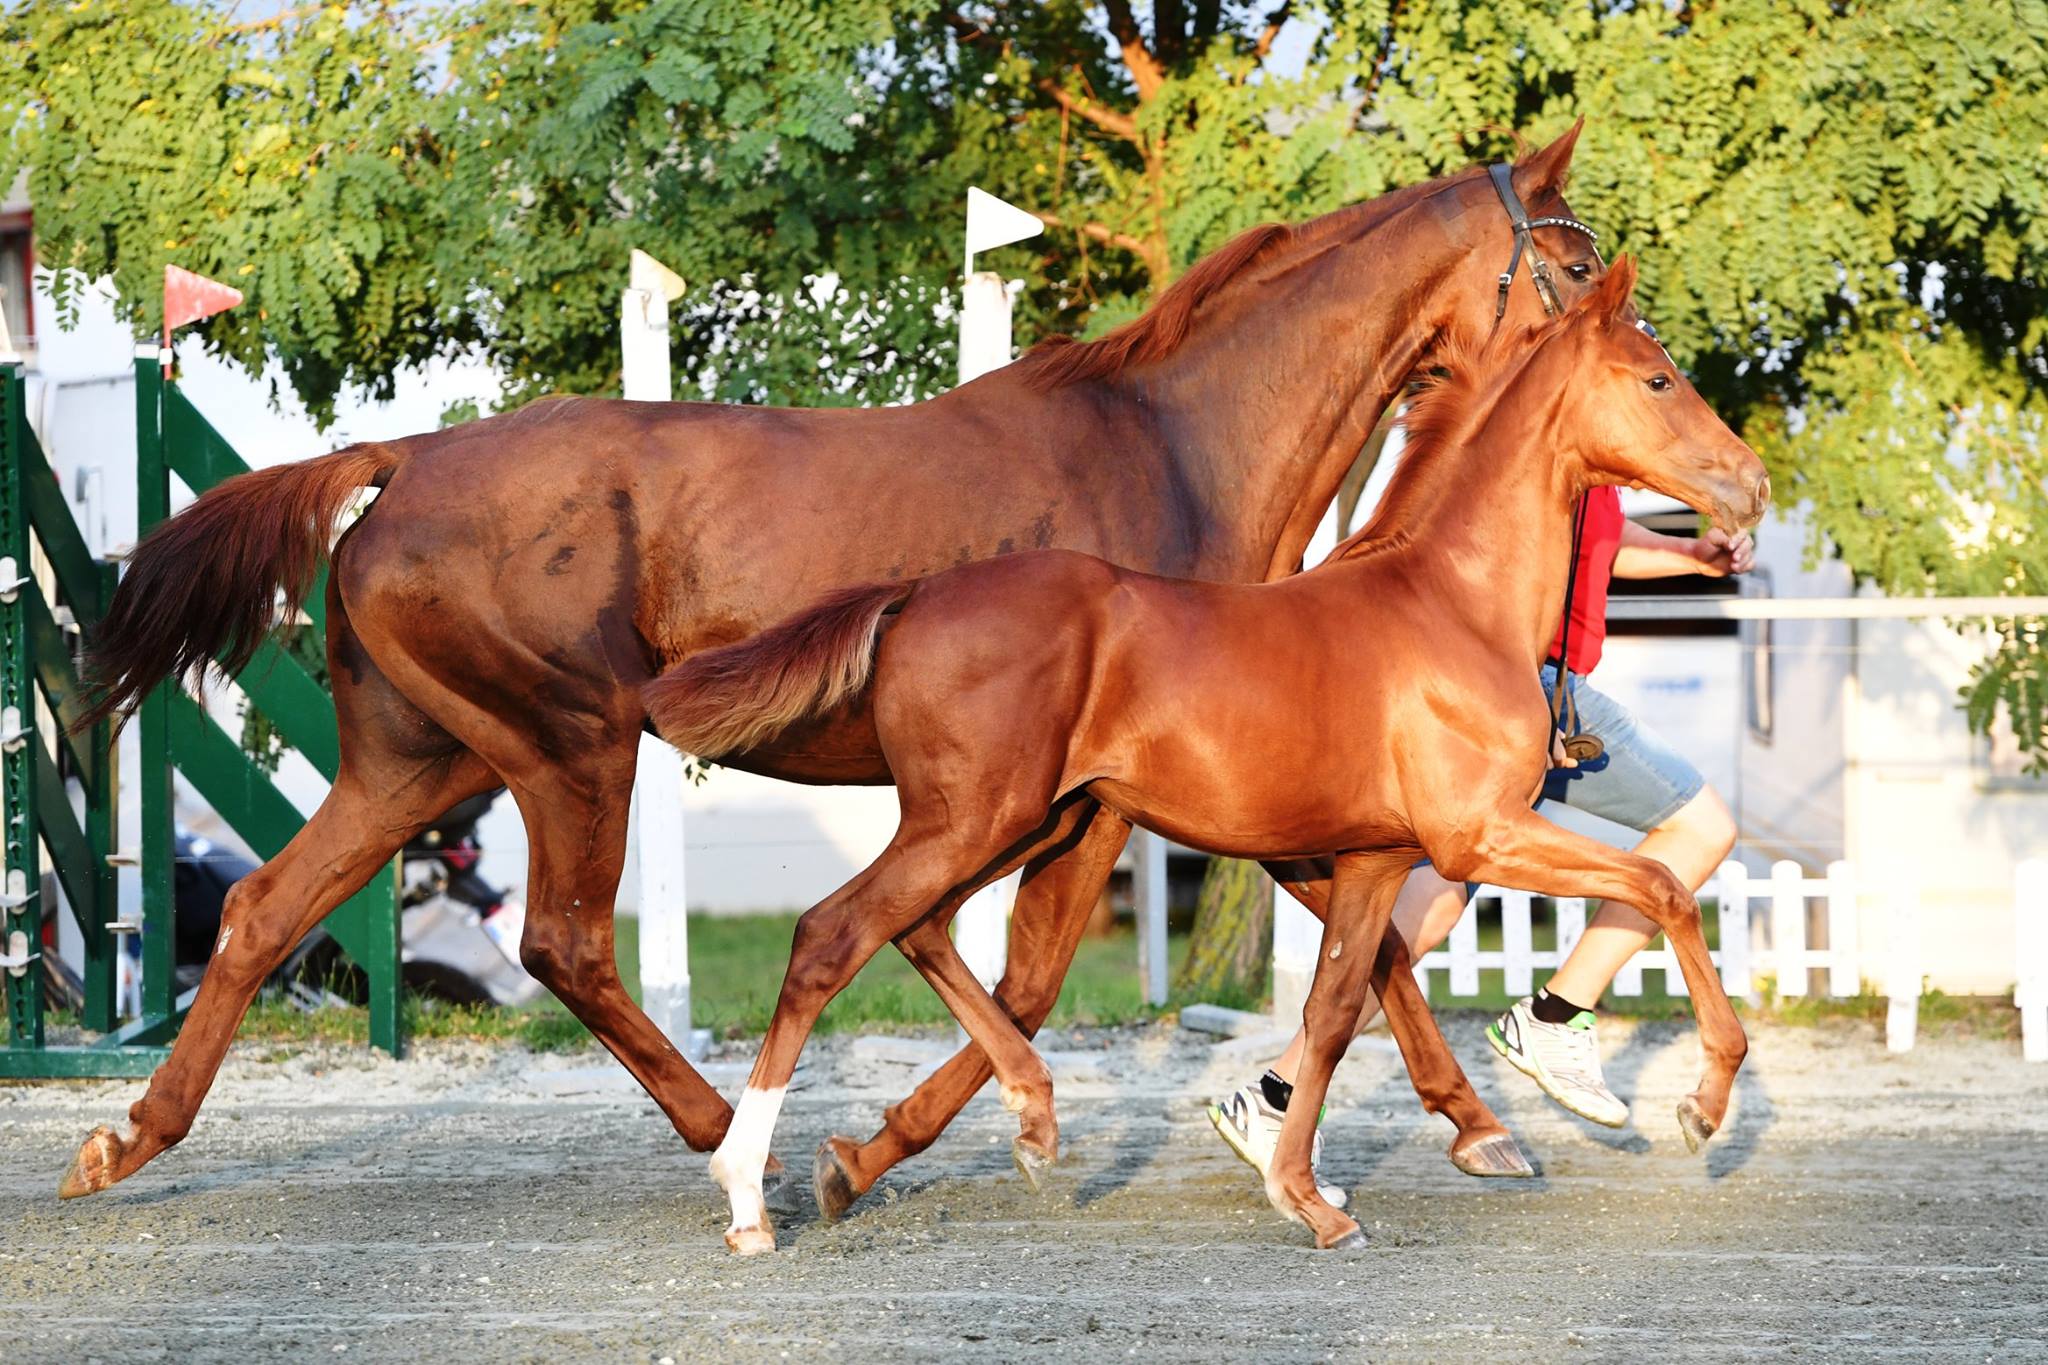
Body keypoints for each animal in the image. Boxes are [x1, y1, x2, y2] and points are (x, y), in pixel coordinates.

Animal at [647, 258, 1769, 1260]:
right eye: (1656, 378)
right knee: (834, 934)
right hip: (977, 818)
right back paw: (748, 1194)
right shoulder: (1478, 836)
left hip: (1028, 820)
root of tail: (914, 593)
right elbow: (1664, 885)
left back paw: (1014, 1119)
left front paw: (1306, 1195)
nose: (1750, 489)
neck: (1451, 604)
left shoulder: (1371, 860)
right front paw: (1704, 1106)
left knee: (921, 931)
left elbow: (1333, 1008)